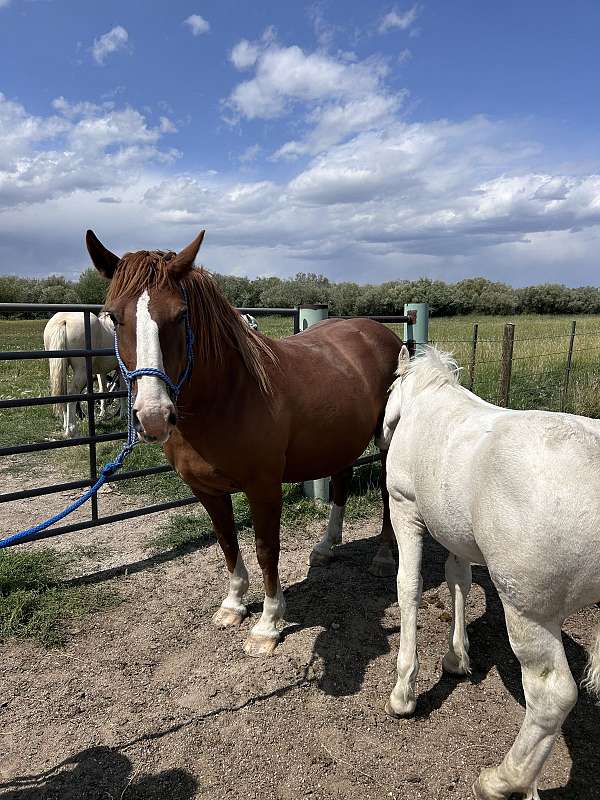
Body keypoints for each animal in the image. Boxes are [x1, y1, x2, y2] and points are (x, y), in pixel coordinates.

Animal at [85, 228, 404, 652]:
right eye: (113, 316)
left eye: (181, 315)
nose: (153, 416)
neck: (228, 394)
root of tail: (382, 332)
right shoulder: (205, 489)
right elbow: (227, 542)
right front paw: (234, 605)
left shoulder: (263, 487)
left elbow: (266, 549)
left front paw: (268, 623)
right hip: (339, 439)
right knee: (340, 483)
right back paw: (325, 547)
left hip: (385, 443)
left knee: (385, 492)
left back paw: (383, 557)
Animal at [382, 346, 596, 800]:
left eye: (389, 391)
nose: (383, 435)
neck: (430, 401)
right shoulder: (454, 530)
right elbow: (457, 580)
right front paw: (456, 657)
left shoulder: (405, 508)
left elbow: (409, 587)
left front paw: (404, 692)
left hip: (529, 615)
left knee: (551, 697)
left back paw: (502, 780)